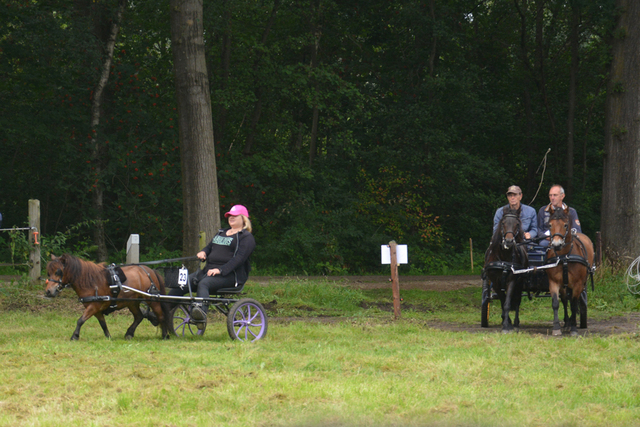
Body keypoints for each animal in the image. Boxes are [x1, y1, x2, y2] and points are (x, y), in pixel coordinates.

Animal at [44, 254, 172, 342]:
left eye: (58, 272)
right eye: (48, 272)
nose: (48, 292)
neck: (91, 282)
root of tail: (150, 271)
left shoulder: (93, 306)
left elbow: (80, 320)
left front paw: (74, 336)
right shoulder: (96, 309)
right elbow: (103, 323)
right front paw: (108, 337)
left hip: (152, 299)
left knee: (160, 315)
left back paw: (165, 335)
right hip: (132, 302)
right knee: (139, 316)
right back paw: (129, 333)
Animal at [544, 207, 596, 338]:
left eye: (565, 225)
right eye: (550, 225)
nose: (556, 244)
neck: (564, 257)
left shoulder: (577, 284)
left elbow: (573, 304)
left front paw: (573, 328)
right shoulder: (553, 282)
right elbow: (556, 303)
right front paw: (556, 328)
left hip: (581, 283)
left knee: (574, 301)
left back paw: (572, 323)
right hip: (564, 285)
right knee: (564, 299)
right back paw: (567, 323)